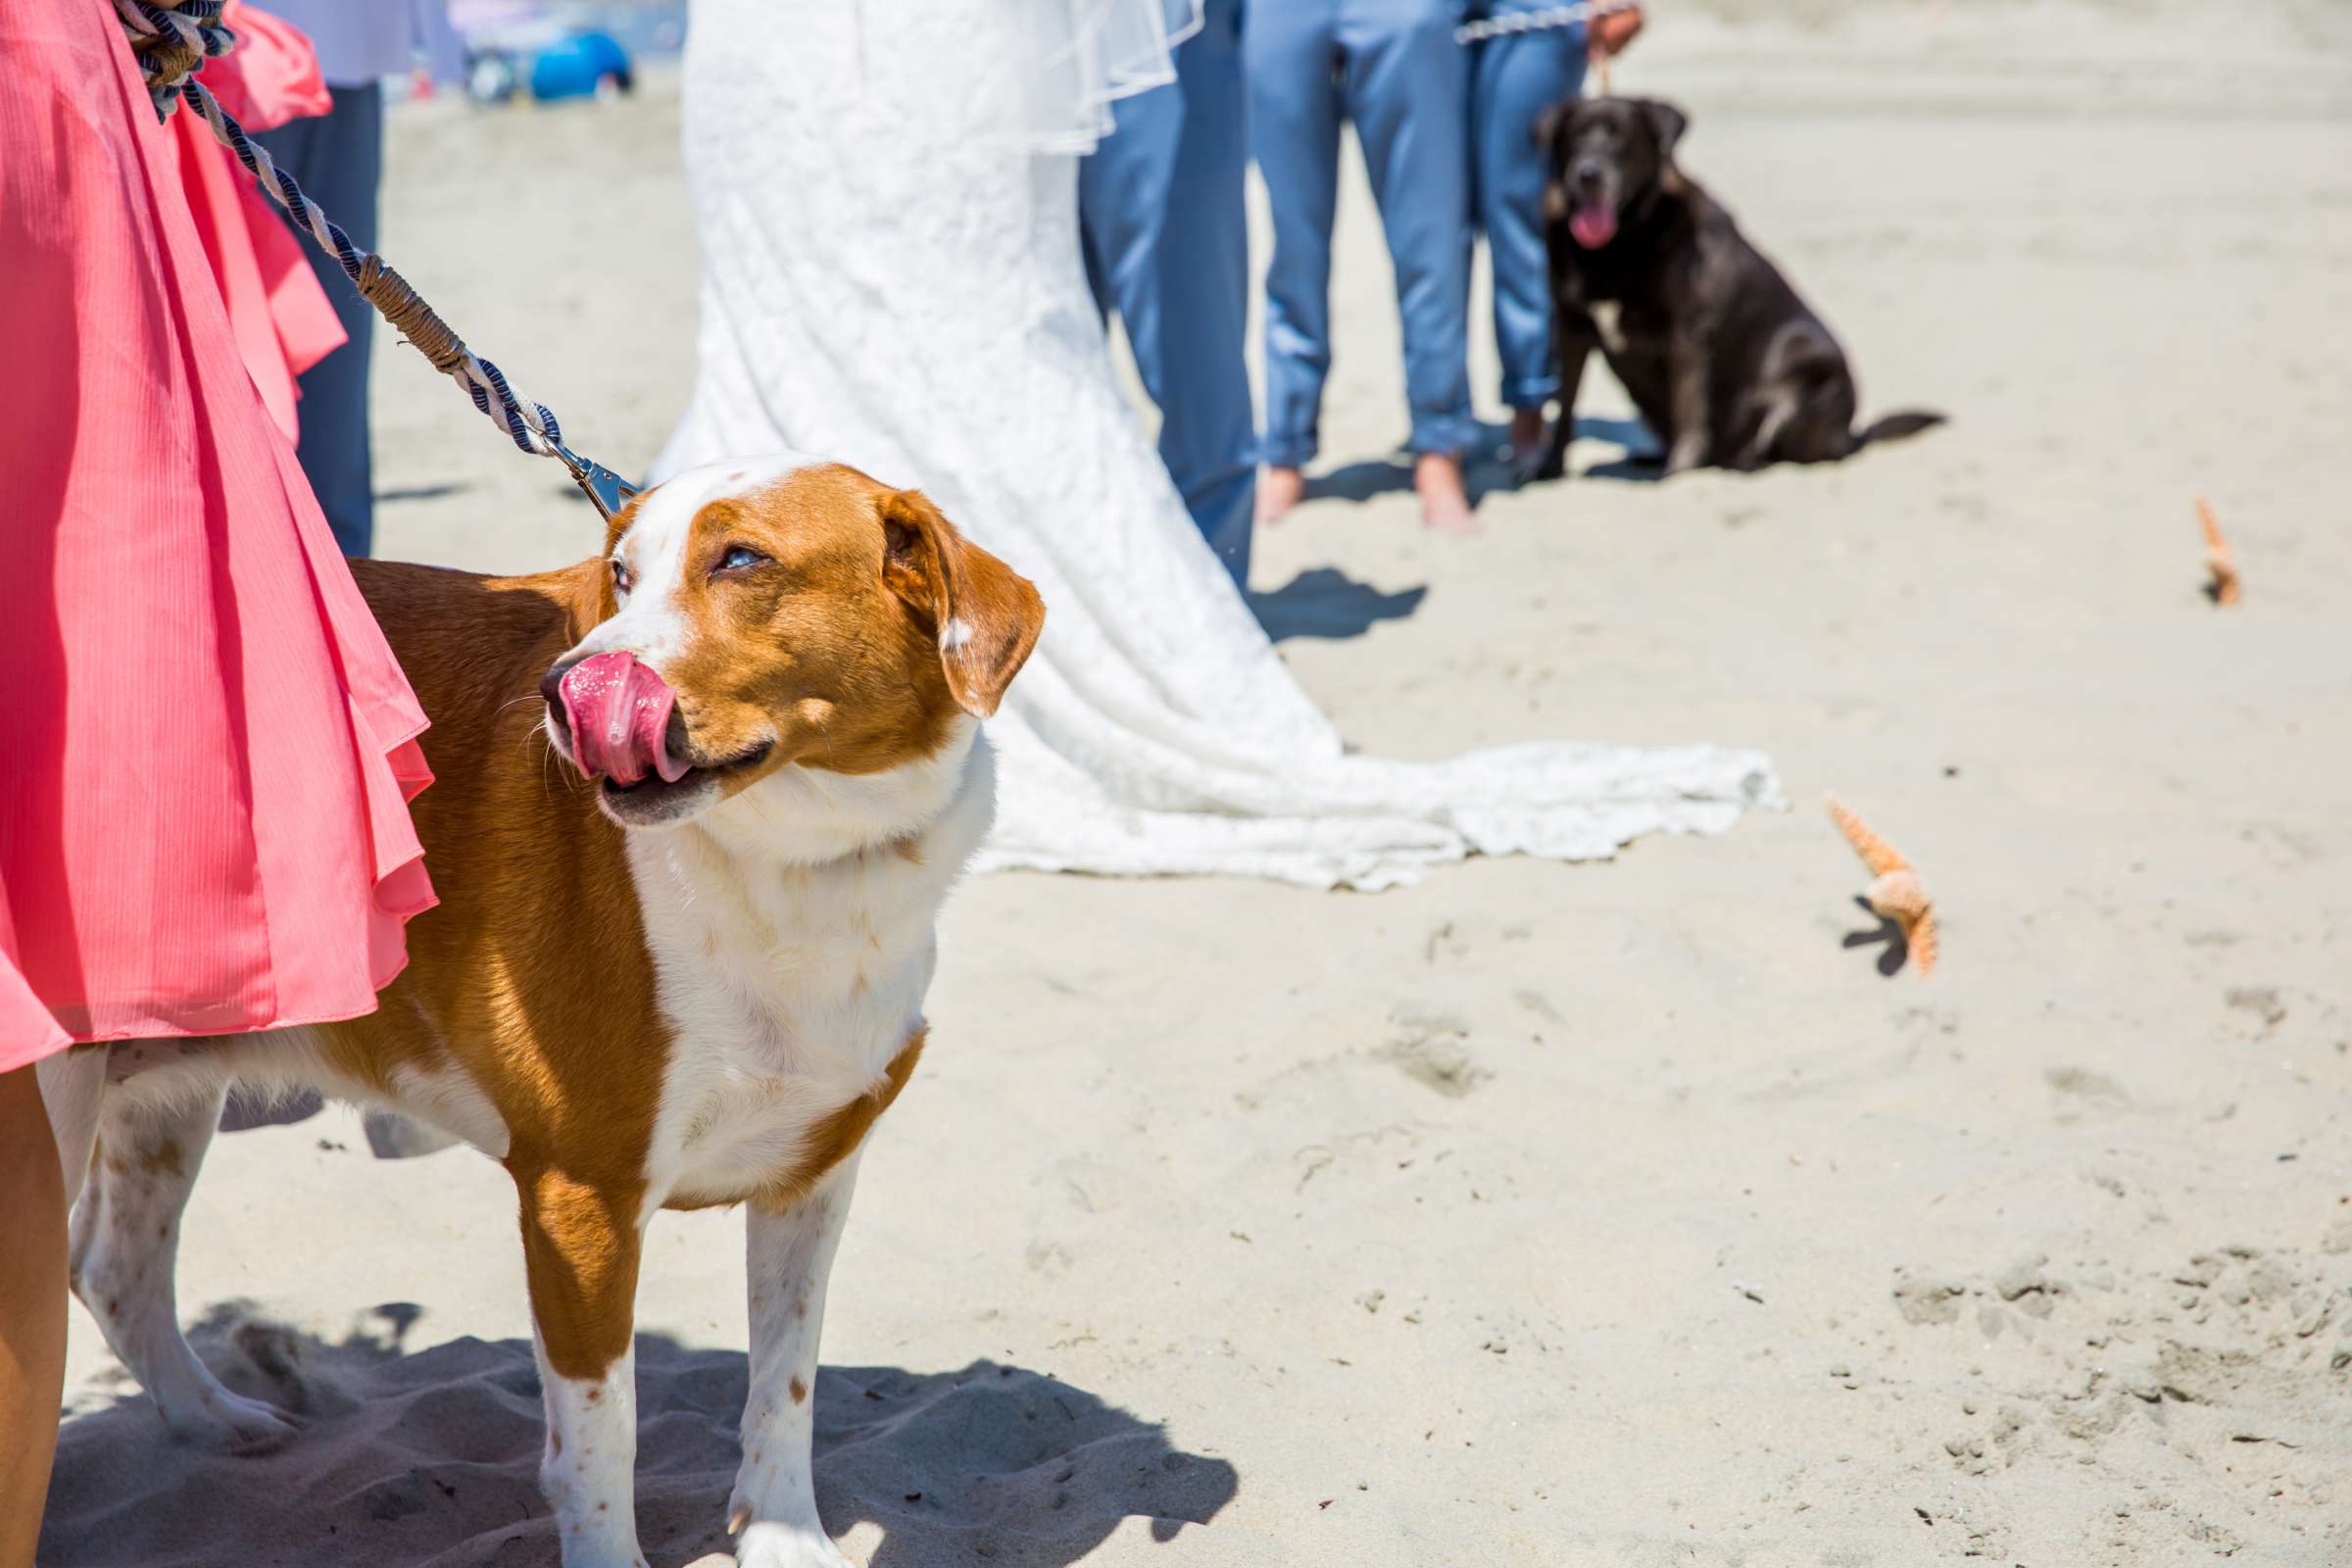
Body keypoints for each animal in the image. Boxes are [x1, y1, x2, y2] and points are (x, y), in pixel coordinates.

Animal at [50, 456, 1044, 1568]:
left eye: (742, 559)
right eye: (620, 572)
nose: (562, 693)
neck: (803, 870)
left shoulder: (815, 1171)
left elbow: (785, 1388)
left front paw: (787, 1537)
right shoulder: (582, 1198)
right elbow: (602, 1437)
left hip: (162, 1093)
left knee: (116, 1270)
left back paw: (211, 1418)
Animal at [1533, 96, 1937, 479]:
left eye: (1621, 138)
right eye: (1574, 137)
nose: (1587, 174)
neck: (1616, 245)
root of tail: (1851, 436)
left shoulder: (1687, 332)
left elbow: (1688, 410)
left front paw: (1678, 472)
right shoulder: (1570, 329)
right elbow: (1565, 405)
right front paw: (1549, 468)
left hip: (1803, 380)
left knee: (1777, 453)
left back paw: (1736, 463)